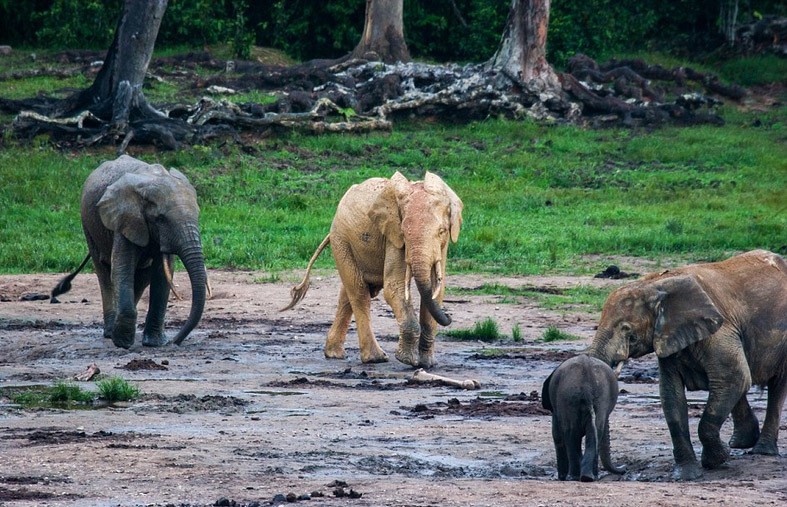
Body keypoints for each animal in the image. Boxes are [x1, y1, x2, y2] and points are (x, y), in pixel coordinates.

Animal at [50, 156, 208, 350]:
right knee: (104, 272)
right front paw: (123, 342)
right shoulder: (124, 219)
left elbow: (161, 275)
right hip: (88, 224)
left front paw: (155, 343)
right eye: (161, 219)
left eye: (198, 215)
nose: (174, 342)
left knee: (142, 275)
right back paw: (110, 332)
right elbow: (122, 268)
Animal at [282, 173, 462, 368]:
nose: (449, 317)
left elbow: (437, 289)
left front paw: (427, 363)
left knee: (348, 294)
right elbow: (394, 287)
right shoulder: (392, 236)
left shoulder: (442, 245)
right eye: (404, 233)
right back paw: (375, 358)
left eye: (442, 231)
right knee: (359, 292)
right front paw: (408, 360)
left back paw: (334, 354)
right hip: (341, 239)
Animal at [588, 252, 787, 482]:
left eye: (627, 329)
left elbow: (733, 377)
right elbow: (671, 396)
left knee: (774, 386)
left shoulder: (719, 331)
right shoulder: (669, 337)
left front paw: (717, 460)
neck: (653, 284)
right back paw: (741, 443)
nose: (622, 468)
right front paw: (686, 475)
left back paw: (762, 451)